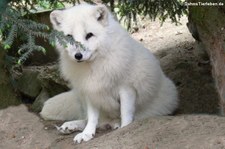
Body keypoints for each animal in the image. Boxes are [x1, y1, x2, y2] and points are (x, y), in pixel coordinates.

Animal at [40, 3, 178, 143]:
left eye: (89, 35)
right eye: (69, 37)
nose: (78, 56)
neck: (95, 65)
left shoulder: (127, 88)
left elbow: (126, 113)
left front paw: (125, 128)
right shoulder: (90, 90)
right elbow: (92, 118)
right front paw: (87, 133)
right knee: (93, 120)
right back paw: (71, 126)